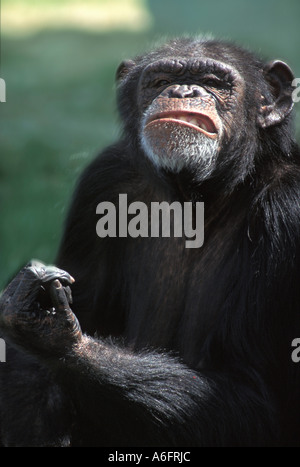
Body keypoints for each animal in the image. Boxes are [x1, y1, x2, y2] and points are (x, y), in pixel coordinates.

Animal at [0, 36, 300, 446]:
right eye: (160, 81)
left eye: (214, 81)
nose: (183, 90)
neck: (198, 195)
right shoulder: (103, 181)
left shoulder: (288, 209)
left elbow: (251, 391)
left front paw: (55, 334)